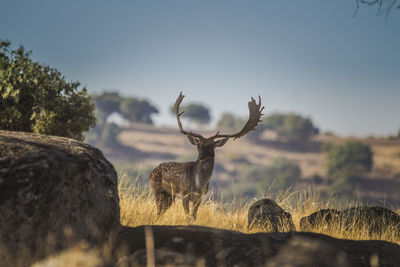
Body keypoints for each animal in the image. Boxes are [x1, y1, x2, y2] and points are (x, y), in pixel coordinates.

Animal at [148, 93, 264, 221]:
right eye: (198, 146)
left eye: (210, 146)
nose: (202, 156)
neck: (199, 184)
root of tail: (151, 173)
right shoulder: (185, 194)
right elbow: (188, 216)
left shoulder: (200, 197)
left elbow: (193, 216)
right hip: (158, 190)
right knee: (158, 211)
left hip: (169, 196)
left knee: (161, 212)